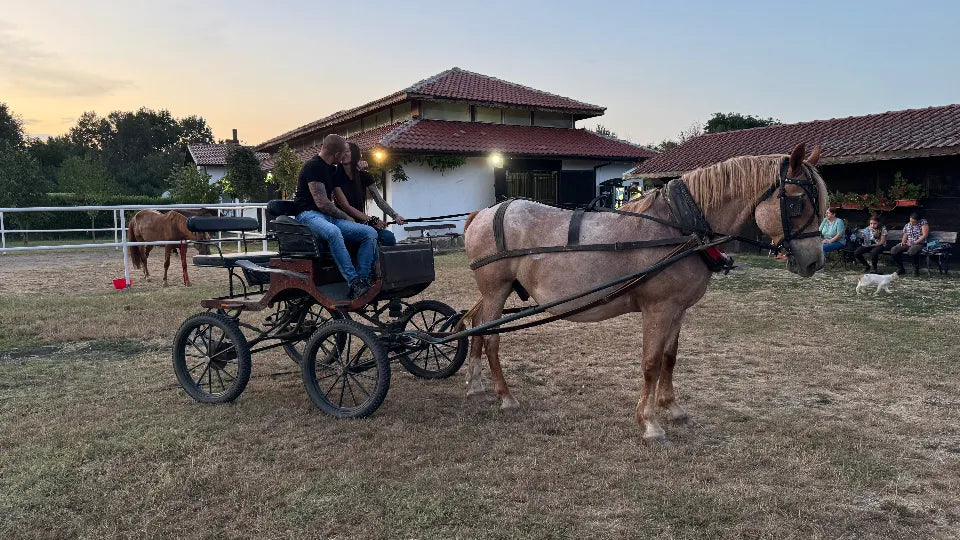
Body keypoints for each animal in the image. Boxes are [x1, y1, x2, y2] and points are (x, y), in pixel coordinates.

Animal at [462, 144, 826, 443]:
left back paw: (476, 383)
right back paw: (505, 396)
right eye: (797, 202)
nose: (814, 261)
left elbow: (669, 357)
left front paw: (672, 407)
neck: (682, 228)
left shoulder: (678, 309)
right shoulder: (658, 309)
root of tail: (483, 214)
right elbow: (651, 362)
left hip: (496, 292)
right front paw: (650, 422)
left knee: (475, 323)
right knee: (491, 336)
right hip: (496, 289)